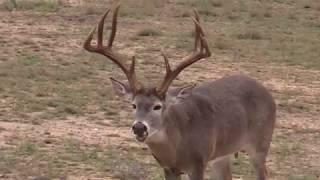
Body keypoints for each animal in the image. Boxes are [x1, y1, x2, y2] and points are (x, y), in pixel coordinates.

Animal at [84, 4, 276, 180]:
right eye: (133, 105)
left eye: (158, 106)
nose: (139, 127)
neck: (177, 147)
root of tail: (266, 91)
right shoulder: (168, 168)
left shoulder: (199, 162)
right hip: (223, 153)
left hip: (261, 143)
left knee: (264, 172)